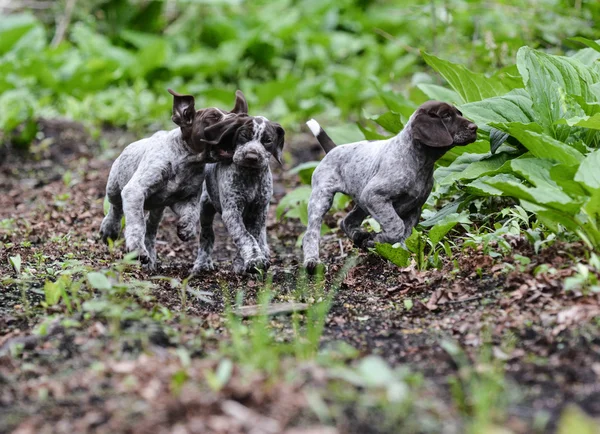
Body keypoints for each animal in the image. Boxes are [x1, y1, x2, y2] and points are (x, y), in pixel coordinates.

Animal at [192, 115, 286, 274]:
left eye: (267, 140)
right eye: (244, 136)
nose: (252, 156)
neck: (251, 176)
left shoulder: (258, 210)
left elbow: (253, 234)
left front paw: (246, 260)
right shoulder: (232, 211)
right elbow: (245, 236)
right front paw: (254, 259)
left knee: (261, 230)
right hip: (205, 206)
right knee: (207, 234)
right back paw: (202, 262)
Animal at [304, 101, 478, 272]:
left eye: (459, 113)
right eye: (446, 115)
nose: (474, 127)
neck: (419, 162)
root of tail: (333, 149)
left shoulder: (413, 208)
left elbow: (405, 236)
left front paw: (397, 253)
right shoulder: (375, 197)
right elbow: (396, 227)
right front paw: (378, 239)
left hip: (362, 200)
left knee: (346, 221)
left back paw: (359, 237)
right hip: (322, 198)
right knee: (311, 233)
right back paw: (312, 260)